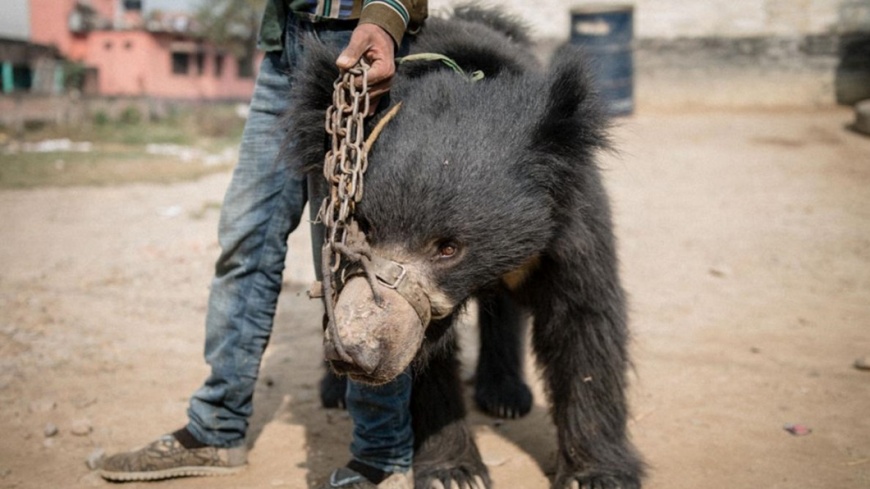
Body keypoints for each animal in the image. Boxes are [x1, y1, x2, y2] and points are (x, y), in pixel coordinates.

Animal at [287, 5, 644, 489]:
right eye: (364, 229)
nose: (357, 355)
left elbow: (583, 319)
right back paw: (336, 393)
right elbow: (422, 359)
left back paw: (505, 395)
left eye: (448, 248)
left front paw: (596, 474)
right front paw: (453, 473)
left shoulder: (569, 219)